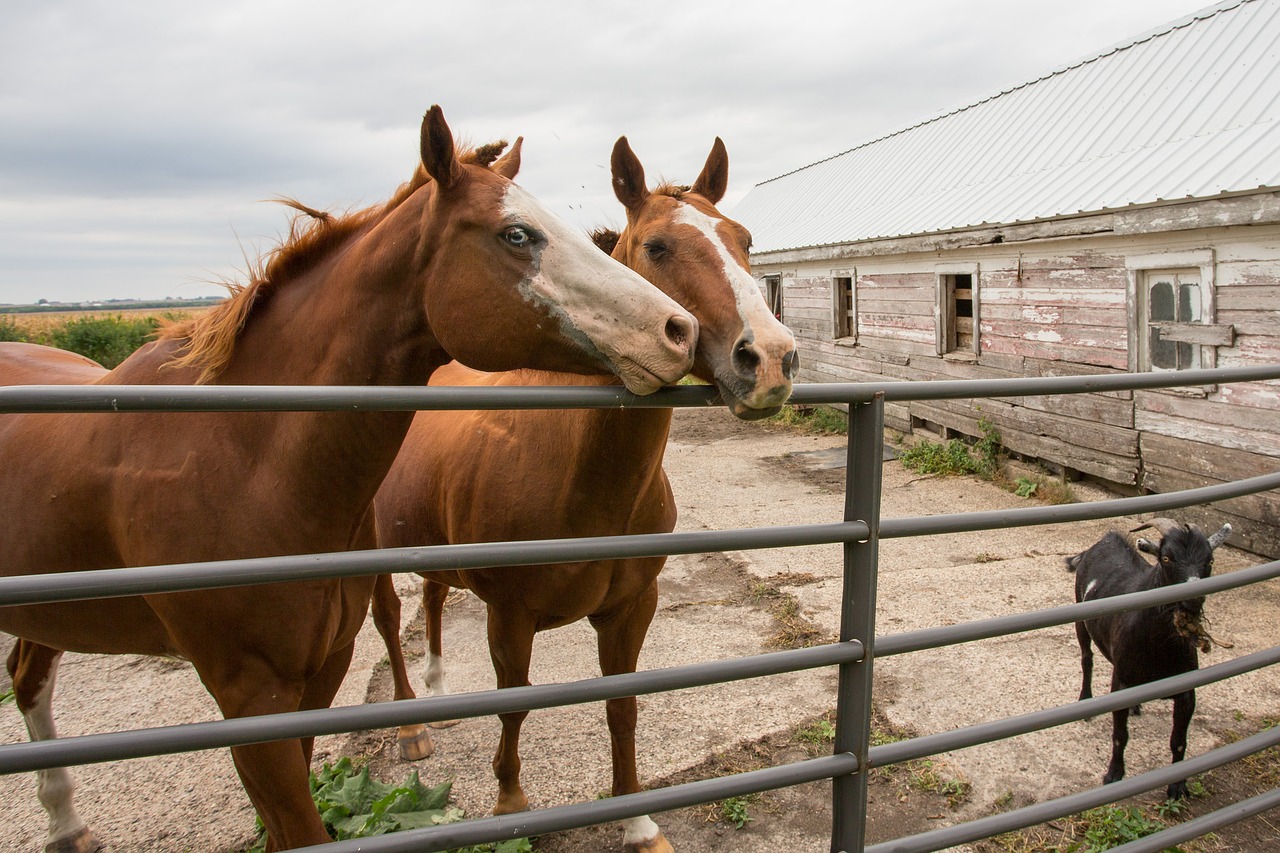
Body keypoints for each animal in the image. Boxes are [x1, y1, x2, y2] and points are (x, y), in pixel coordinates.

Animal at [0, 108, 701, 850]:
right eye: (517, 234)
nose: (679, 329)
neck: (234, 457)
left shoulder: (317, 677)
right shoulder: (248, 696)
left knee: (28, 677)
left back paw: (67, 823)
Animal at [366, 137, 793, 850]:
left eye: (745, 239)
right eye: (657, 247)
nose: (770, 358)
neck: (582, 479)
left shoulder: (631, 610)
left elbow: (622, 707)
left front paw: (638, 820)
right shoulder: (509, 616)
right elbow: (515, 704)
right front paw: (510, 803)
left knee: (431, 597)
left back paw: (438, 688)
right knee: (390, 618)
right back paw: (411, 726)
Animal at [1064, 514, 1233, 799]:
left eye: (1209, 561)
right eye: (1166, 558)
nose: (1193, 598)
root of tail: (1105, 540)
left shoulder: (1187, 691)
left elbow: (1178, 741)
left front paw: (1177, 786)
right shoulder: (1120, 683)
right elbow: (1120, 735)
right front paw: (1113, 775)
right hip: (1080, 616)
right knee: (1087, 658)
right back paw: (1085, 701)